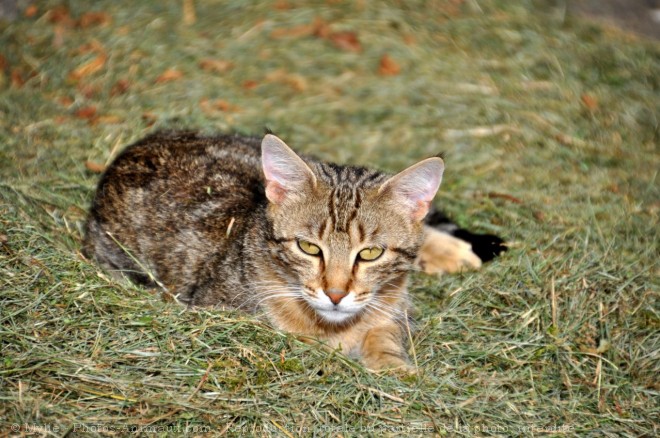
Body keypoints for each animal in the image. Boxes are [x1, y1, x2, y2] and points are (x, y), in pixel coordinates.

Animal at [82, 132, 506, 372]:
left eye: (370, 253)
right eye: (308, 247)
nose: (336, 293)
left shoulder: (390, 310)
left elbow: (384, 334)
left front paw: (393, 367)